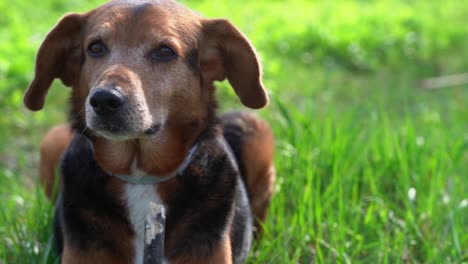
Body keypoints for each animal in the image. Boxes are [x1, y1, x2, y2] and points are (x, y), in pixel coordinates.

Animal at [24, 1, 274, 262]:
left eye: (165, 51)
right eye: (95, 48)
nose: (103, 100)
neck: (140, 175)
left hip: (254, 128)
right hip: (52, 140)